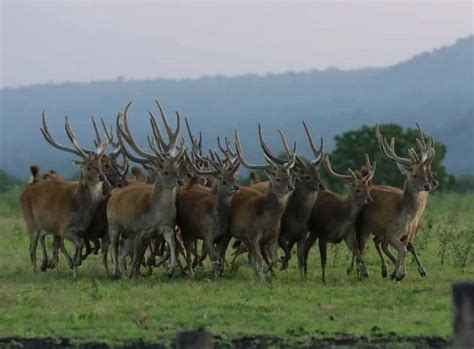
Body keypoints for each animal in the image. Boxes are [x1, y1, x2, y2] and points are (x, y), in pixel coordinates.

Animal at [19, 113, 107, 276]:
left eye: (101, 165)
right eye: (88, 166)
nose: (102, 177)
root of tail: (29, 186)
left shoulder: (81, 230)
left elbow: (79, 246)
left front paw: (74, 267)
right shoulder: (63, 227)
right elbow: (78, 245)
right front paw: (74, 266)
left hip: (43, 226)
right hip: (31, 222)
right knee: (31, 248)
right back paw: (36, 272)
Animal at [106, 100, 186, 278]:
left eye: (177, 168)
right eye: (165, 171)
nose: (180, 181)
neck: (154, 214)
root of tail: (114, 194)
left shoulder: (167, 227)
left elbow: (172, 245)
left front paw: (170, 269)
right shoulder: (140, 230)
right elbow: (137, 256)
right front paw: (134, 274)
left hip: (128, 233)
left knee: (122, 253)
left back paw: (123, 272)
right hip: (114, 225)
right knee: (114, 248)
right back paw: (115, 272)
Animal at [215, 125, 296, 280]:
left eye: (289, 176)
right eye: (277, 178)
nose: (291, 187)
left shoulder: (273, 238)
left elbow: (271, 259)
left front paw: (272, 276)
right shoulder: (253, 235)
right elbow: (259, 261)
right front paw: (263, 280)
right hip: (228, 231)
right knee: (220, 251)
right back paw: (219, 272)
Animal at [304, 154, 378, 282]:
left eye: (368, 189)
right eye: (357, 190)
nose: (370, 200)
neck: (341, 216)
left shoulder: (348, 235)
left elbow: (357, 251)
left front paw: (365, 272)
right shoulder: (323, 234)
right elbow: (324, 259)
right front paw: (324, 279)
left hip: (313, 232)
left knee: (306, 246)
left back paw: (305, 273)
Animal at [354, 123, 438, 280]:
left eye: (427, 173)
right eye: (415, 175)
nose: (429, 185)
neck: (406, 217)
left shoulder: (407, 234)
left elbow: (407, 249)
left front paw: (400, 272)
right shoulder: (391, 232)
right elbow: (403, 250)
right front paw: (399, 274)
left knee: (374, 243)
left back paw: (382, 270)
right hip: (363, 226)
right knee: (360, 247)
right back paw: (362, 272)